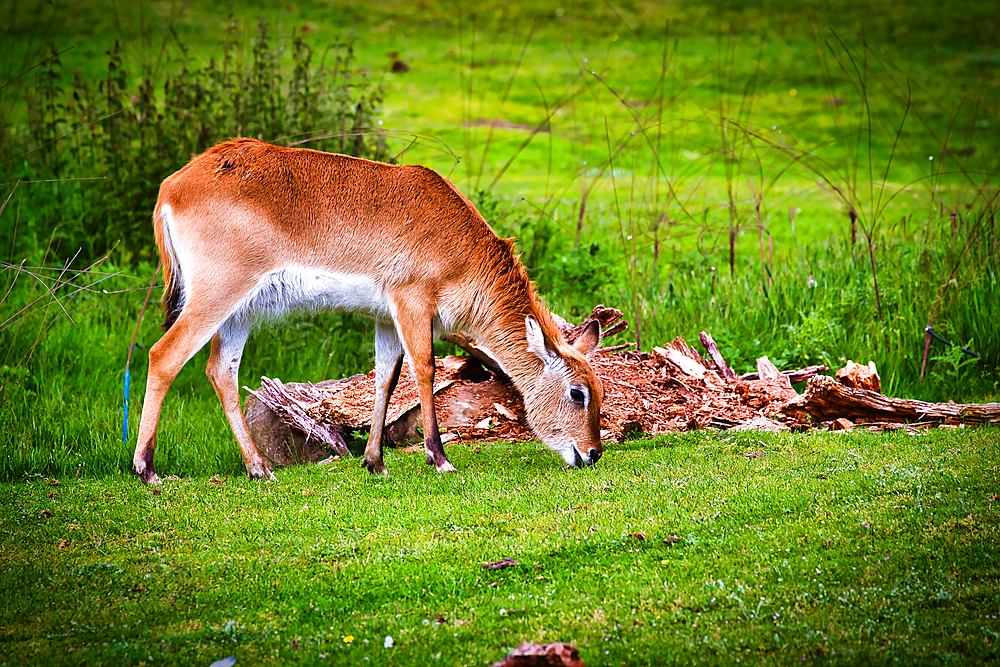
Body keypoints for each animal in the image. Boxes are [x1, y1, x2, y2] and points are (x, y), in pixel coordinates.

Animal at [132, 140, 600, 486]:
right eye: (578, 392)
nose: (593, 453)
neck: (462, 249)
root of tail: (171, 187)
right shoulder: (412, 301)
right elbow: (425, 368)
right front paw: (440, 458)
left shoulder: (385, 317)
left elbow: (386, 377)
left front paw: (374, 461)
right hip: (216, 295)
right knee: (163, 355)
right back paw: (148, 469)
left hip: (239, 312)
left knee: (220, 370)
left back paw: (260, 468)